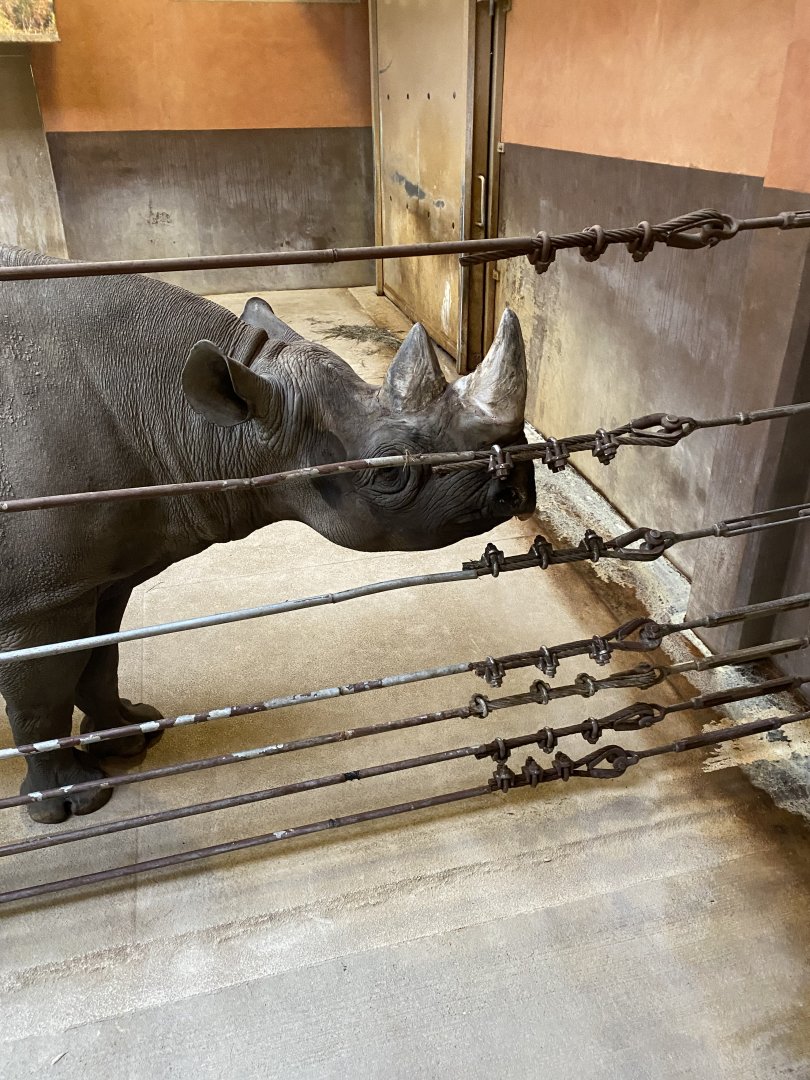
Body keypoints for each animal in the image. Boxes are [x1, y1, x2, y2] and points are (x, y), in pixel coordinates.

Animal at [0, 244, 534, 823]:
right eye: (390, 470)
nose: (520, 486)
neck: (205, 421)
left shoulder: (95, 575)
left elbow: (101, 657)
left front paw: (133, 736)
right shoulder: (40, 601)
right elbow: (42, 695)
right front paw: (73, 803)